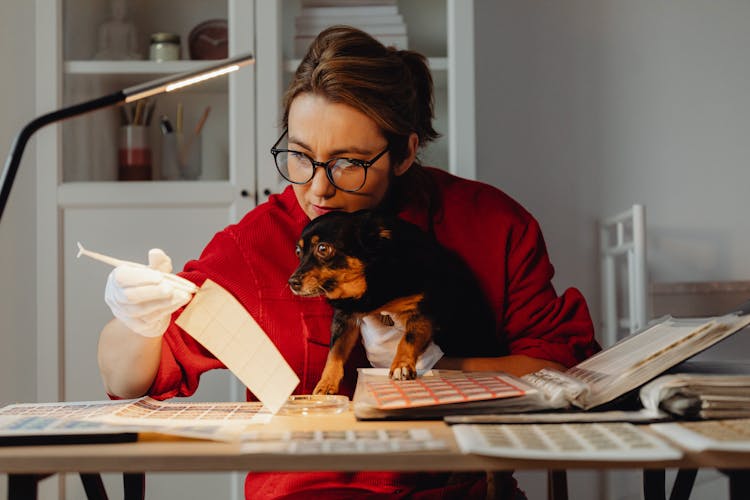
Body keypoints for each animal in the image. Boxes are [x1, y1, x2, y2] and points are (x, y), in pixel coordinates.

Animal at [288, 209, 506, 392]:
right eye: (298, 252)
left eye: (323, 249)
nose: (292, 282)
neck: (370, 280)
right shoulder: (346, 317)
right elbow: (334, 353)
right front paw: (326, 384)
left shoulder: (422, 309)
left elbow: (407, 339)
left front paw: (401, 365)